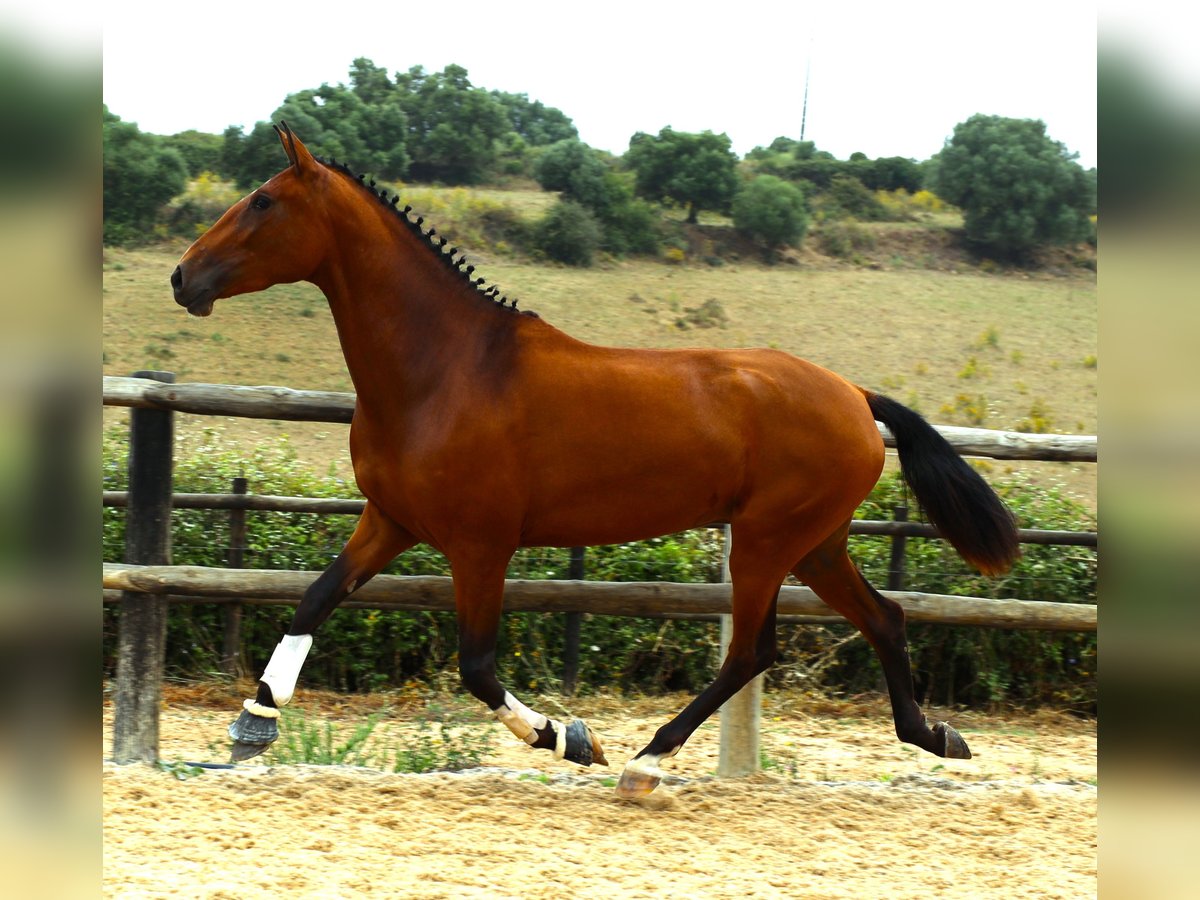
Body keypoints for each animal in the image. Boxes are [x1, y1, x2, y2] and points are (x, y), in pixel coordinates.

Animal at [169, 123, 1017, 801]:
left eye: (262, 202)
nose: (183, 277)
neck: (443, 369)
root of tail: (854, 395)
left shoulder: (480, 544)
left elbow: (476, 665)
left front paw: (570, 738)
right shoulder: (391, 521)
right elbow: (313, 600)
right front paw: (252, 724)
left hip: (768, 540)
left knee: (753, 650)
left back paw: (645, 762)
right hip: (814, 543)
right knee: (883, 617)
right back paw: (937, 736)